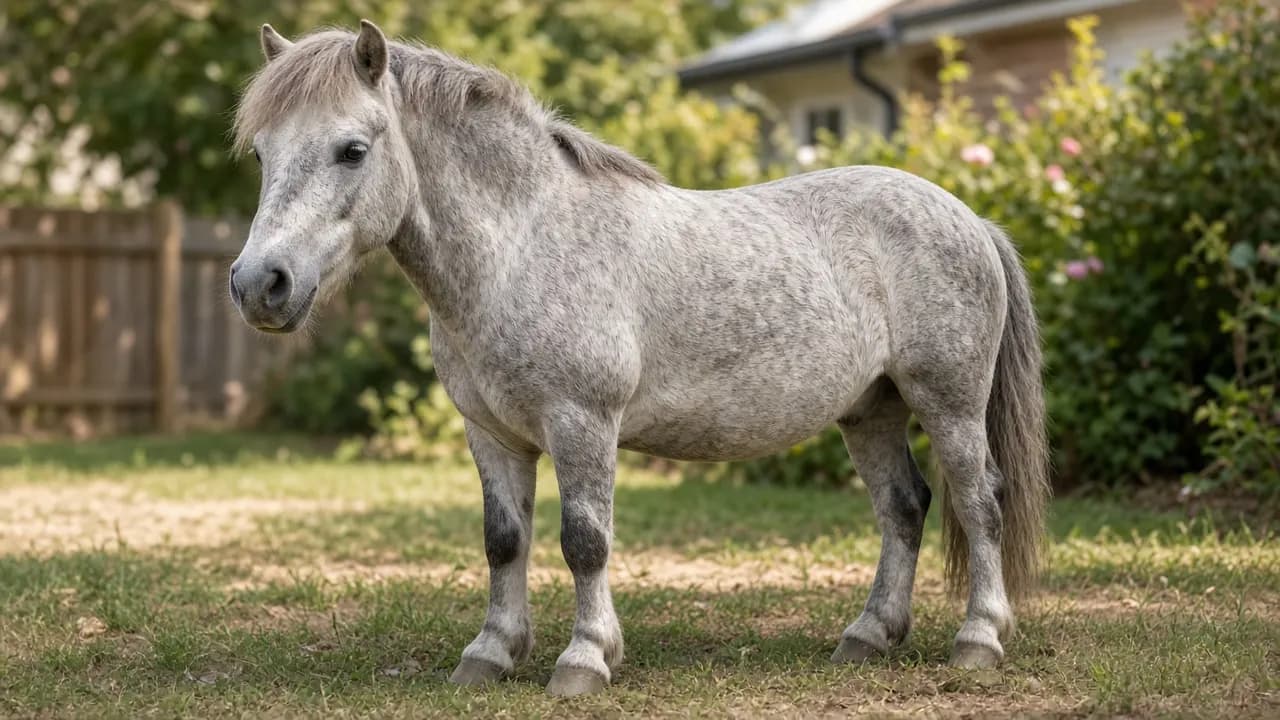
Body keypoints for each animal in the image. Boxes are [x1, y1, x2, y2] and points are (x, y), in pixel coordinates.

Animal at [229, 20, 1050, 696]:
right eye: (263, 153)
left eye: (353, 150)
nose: (259, 284)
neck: (524, 244)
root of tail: (969, 216)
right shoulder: (492, 434)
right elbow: (504, 541)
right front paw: (491, 654)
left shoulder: (582, 423)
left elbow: (584, 542)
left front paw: (585, 660)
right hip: (870, 411)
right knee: (904, 508)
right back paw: (869, 637)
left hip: (949, 403)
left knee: (980, 502)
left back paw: (978, 640)